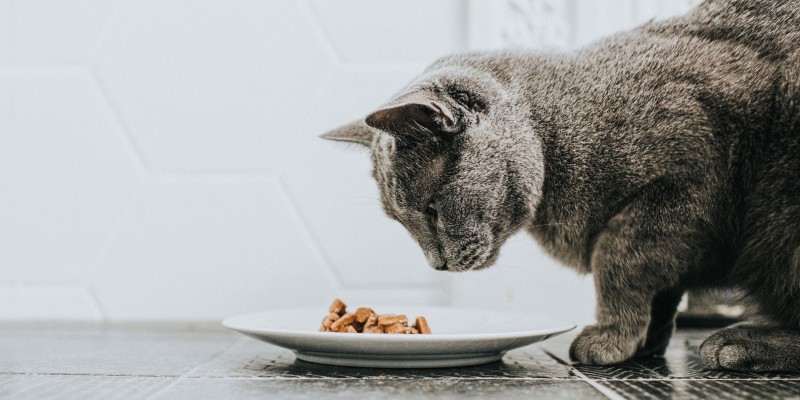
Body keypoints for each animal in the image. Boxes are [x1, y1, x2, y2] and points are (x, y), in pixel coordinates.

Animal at [322, 0, 796, 374]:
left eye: (432, 208)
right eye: (401, 221)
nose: (435, 266)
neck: (554, 141)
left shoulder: (686, 174)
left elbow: (617, 259)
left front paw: (610, 336)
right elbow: (661, 287)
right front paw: (642, 342)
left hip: (778, 206)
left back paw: (743, 342)